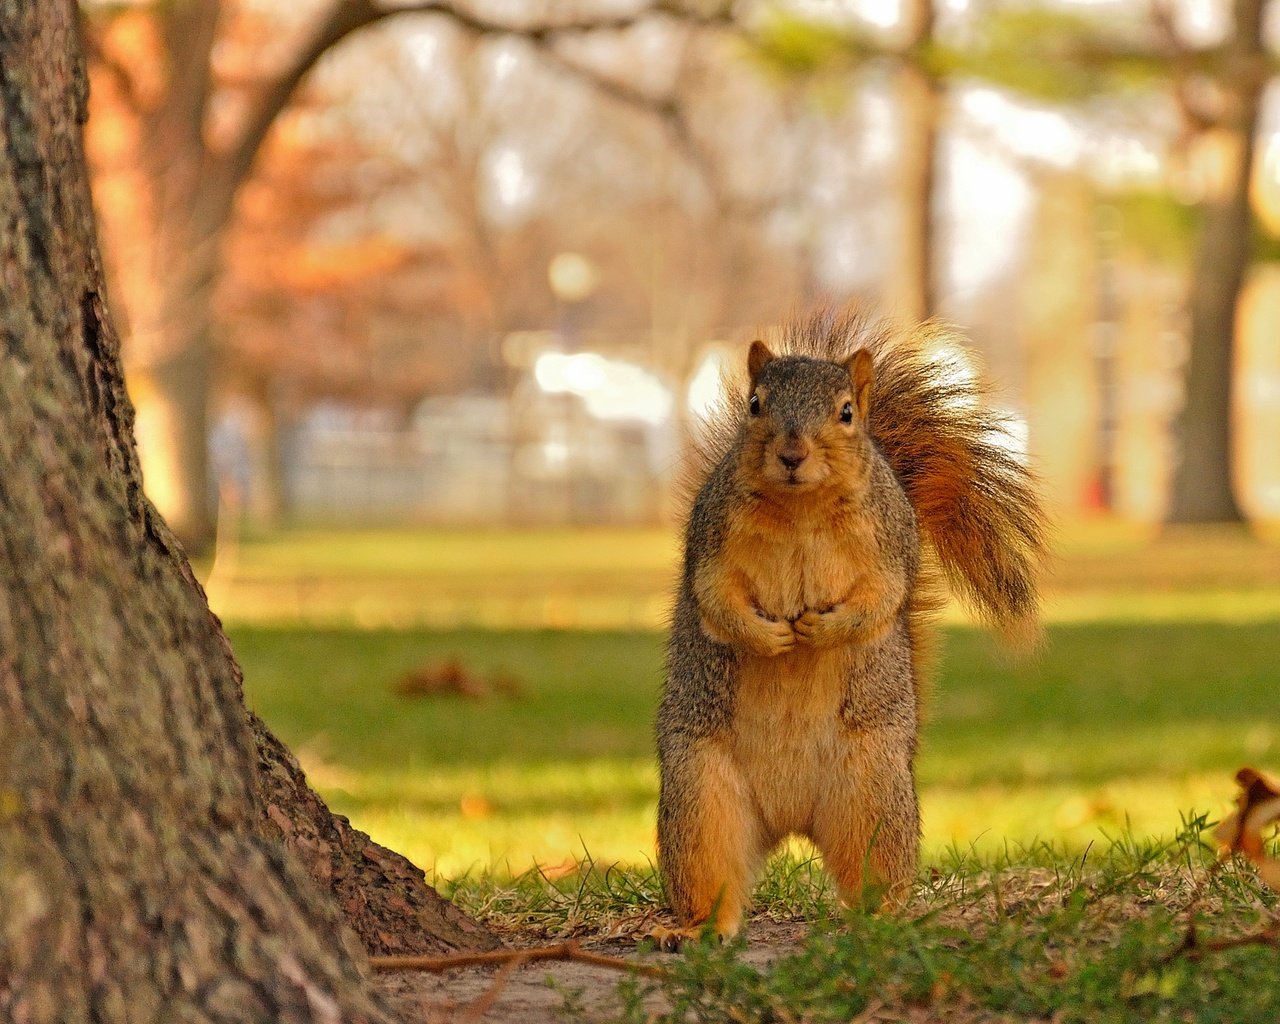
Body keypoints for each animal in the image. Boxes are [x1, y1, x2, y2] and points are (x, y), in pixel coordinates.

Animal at [655, 309, 1044, 952]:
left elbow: (881, 600)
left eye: (845, 412)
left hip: (873, 793)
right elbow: (716, 602)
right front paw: (771, 638)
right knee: (713, 877)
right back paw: (693, 930)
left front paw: (819, 629)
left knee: (873, 873)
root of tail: (788, 819)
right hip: (700, 798)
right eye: (756, 404)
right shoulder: (708, 543)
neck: (799, 508)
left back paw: (879, 919)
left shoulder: (891, 546)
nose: (792, 452)